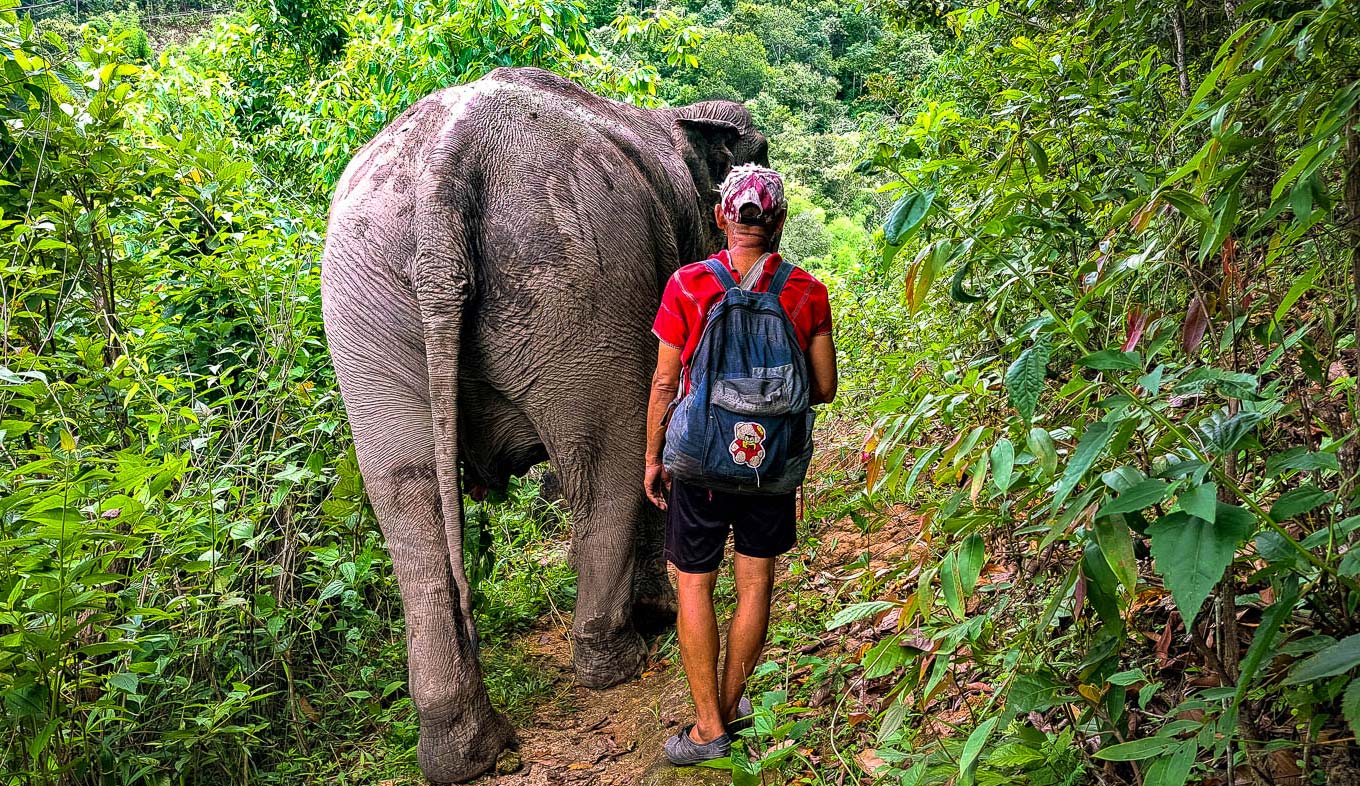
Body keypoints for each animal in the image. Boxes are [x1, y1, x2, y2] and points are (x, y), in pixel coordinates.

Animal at [315, 67, 767, 777]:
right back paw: (617, 658)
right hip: (572, 273)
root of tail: (448, 162)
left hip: (370, 306)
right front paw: (657, 610)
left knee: (405, 495)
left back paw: (465, 752)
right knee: (604, 456)